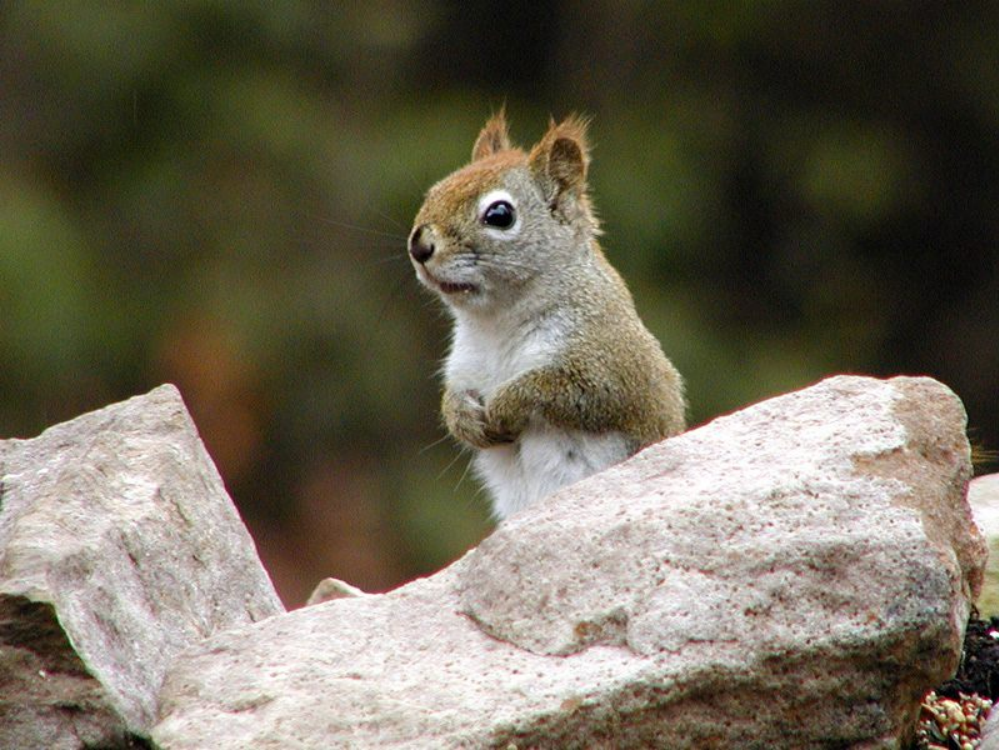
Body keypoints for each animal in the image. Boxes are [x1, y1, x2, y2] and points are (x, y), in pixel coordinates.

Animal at [408, 113, 688, 524]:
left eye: (500, 215)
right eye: (434, 192)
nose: (419, 245)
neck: (497, 322)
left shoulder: (613, 364)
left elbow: (562, 388)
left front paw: (503, 406)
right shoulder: (465, 367)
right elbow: (452, 399)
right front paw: (463, 418)